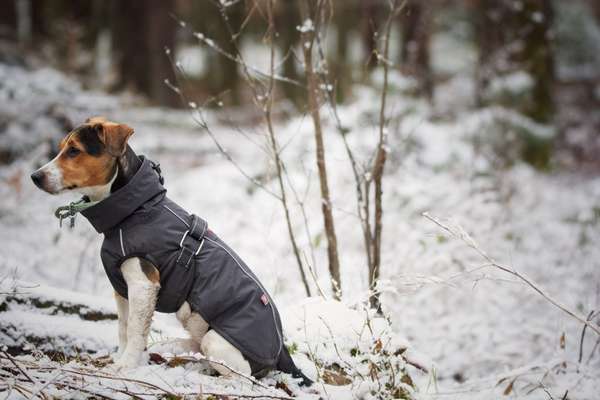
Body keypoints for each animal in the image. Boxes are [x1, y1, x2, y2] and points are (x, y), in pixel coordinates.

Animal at [30, 117, 312, 386]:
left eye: (74, 150)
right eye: (61, 148)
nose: (35, 176)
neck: (136, 209)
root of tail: (283, 355)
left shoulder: (143, 284)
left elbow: (134, 330)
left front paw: (126, 366)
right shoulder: (122, 288)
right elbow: (123, 327)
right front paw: (120, 360)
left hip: (217, 341)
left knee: (244, 376)